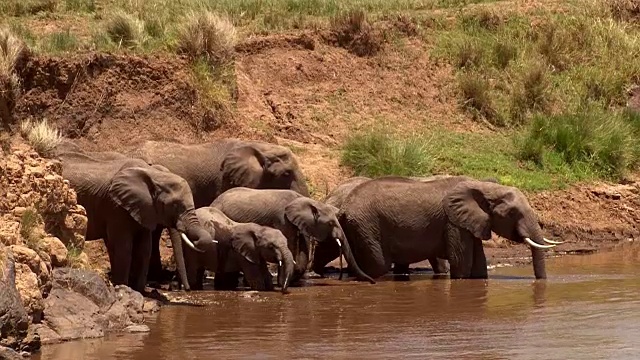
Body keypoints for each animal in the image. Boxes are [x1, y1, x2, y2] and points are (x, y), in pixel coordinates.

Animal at [55, 149, 215, 292]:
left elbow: (144, 248)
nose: (185, 289)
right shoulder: (116, 206)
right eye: (174, 205)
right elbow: (124, 246)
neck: (153, 174)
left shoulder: (143, 209)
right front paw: (124, 287)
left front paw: (138, 290)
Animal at [210, 188, 376, 284]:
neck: (306, 201)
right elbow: (290, 244)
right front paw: (285, 281)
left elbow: (301, 244)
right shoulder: (282, 219)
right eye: (330, 223)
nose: (373, 282)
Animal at [332, 174, 564, 282]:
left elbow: (479, 266)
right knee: (378, 265)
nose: (541, 282)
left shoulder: (469, 223)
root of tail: (343, 208)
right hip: (366, 226)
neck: (483, 187)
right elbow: (463, 265)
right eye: (513, 214)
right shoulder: (453, 223)